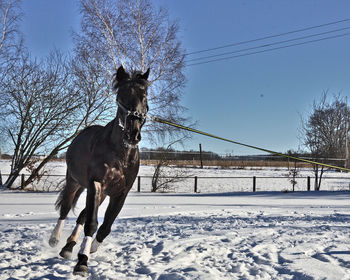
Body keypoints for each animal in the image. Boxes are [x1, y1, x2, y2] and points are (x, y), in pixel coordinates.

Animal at [48, 65, 149, 276]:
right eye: (121, 95)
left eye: (144, 95)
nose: (133, 134)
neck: (120, 154)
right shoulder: (96, 184)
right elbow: (92, 223)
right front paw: (82, 262)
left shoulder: (120, 193)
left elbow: (105, 226)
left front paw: (91, 248)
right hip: (74, 183)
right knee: (65, 209)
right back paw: (55, 239)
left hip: (99, 193)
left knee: (82, 214)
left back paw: (69, 246)